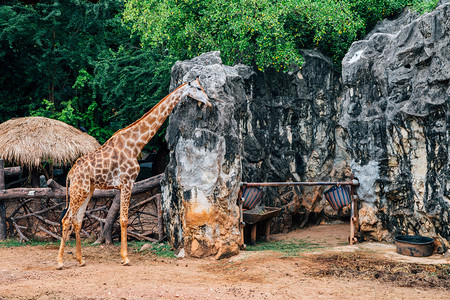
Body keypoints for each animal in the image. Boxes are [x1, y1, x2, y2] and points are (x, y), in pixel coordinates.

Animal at [56, 78, 211, 270]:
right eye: (198, 88)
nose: (210, 102)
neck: (137, 144)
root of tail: (70, 174)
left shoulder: (125, 183)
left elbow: (122, 218)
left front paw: (123, 256)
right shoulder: (127, 181)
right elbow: (123, 219)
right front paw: (125, 258)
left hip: (87, 190)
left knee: (77, 220)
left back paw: (81, 260)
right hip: (79, 190)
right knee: (66, 220)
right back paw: (60, 262)